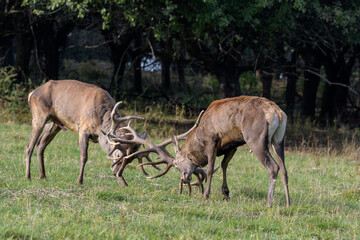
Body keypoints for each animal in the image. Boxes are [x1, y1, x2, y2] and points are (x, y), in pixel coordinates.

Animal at [117, 95, 290, 206]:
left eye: (178, 165)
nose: (184, 179)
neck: (199, 136)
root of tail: (278, 113)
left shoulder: (211, 141)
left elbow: (210, 168)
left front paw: (206, 195)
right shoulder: (232, 145)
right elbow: (224, 165)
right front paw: (225, 193)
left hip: (255, 138)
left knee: (273, 167)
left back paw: (269, 202)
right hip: (278, 140)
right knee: (284, 169)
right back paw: (288, 202)